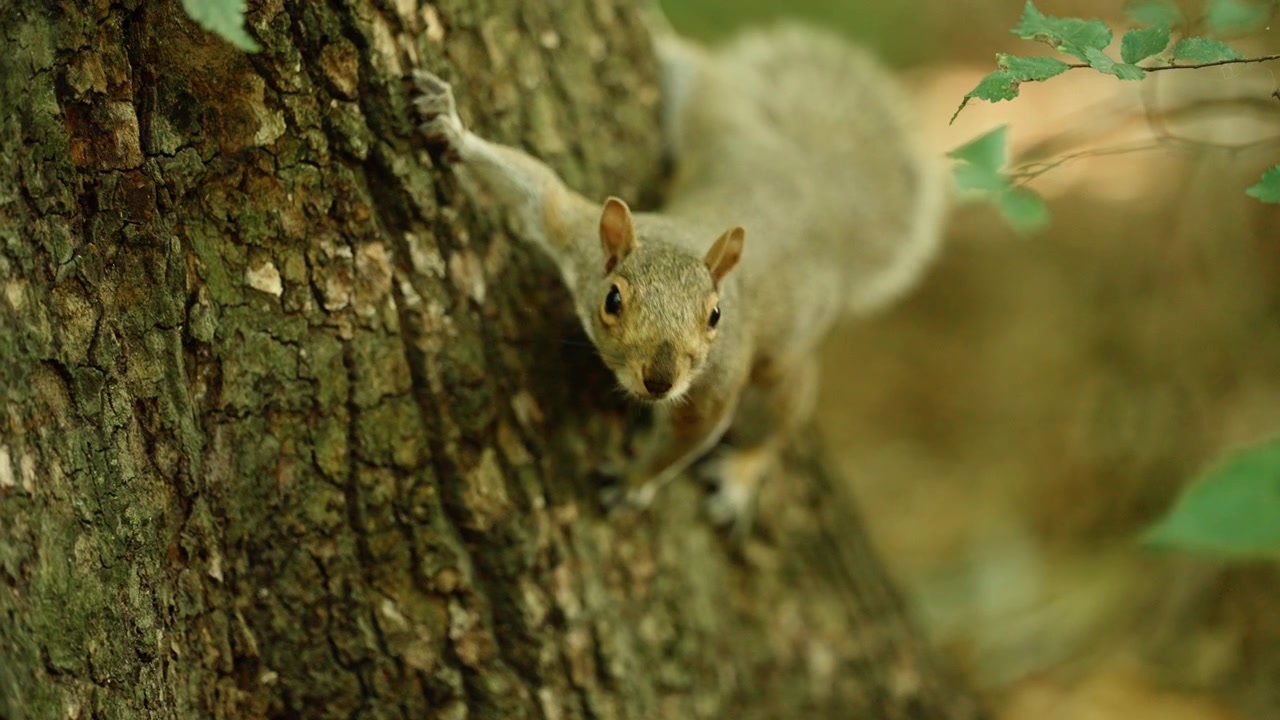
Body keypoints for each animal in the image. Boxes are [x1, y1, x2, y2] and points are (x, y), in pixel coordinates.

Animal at [413, 23, 947, 531]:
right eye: (612, 301)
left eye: (716, 316)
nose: (659, 381)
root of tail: (815, 187)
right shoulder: (575, 235)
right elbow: (539, 190)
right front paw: (454, 130)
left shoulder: (713, 382)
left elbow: (687, 437)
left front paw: (633, 483)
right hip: (716, 121)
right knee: (699, 75)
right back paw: (666, 43)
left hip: (784, 357)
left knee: (782, 418)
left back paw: (741, 475)